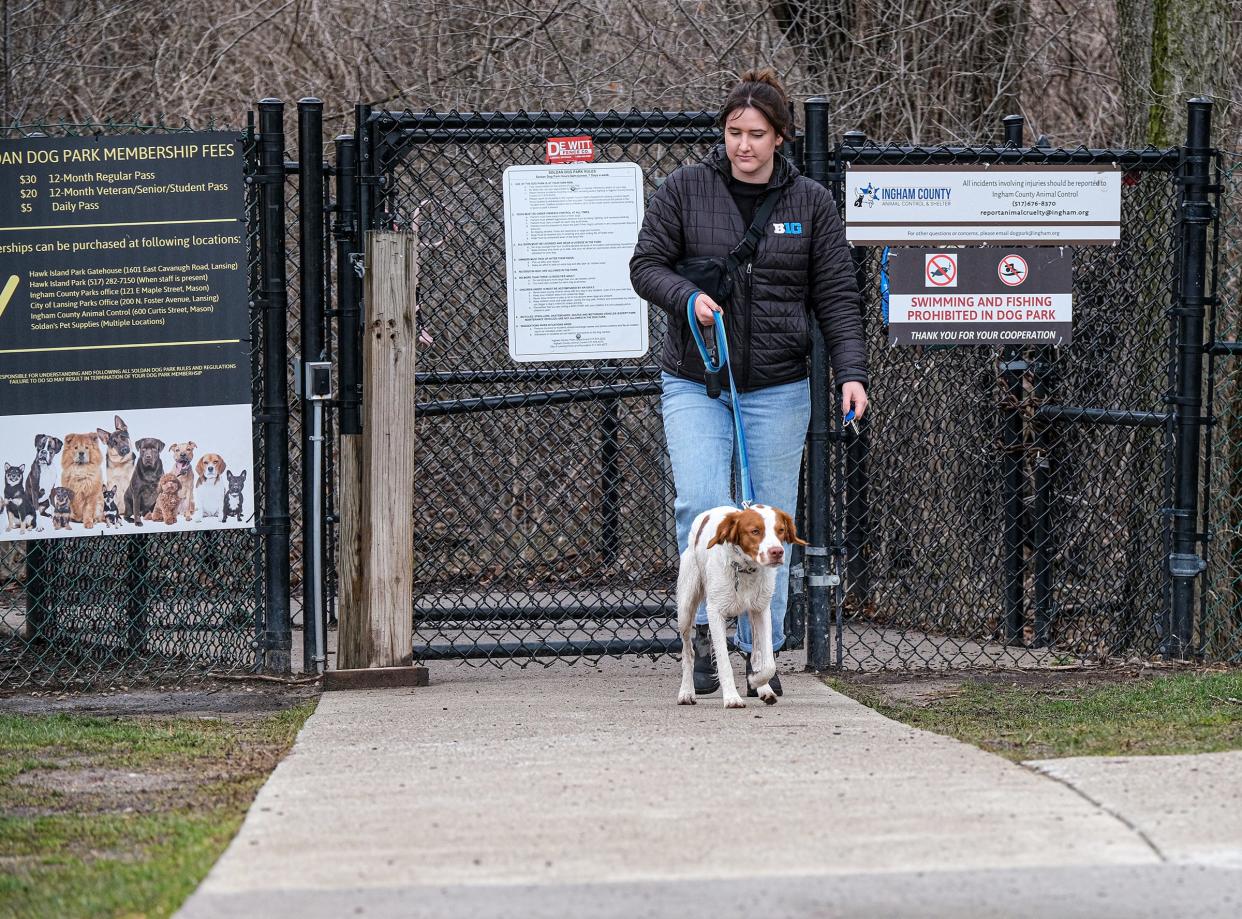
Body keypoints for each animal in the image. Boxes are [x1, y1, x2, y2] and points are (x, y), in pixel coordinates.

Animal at [675, 501, 809, 710]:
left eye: (780, 530)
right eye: (755, 531)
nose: (777, 552)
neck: (745, 568)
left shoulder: (762, 610)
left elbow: (768, 662)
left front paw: (757, 681)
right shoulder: (715, 612)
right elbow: (724, 662)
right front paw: (732, 698)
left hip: (751, 614)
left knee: (755, 655)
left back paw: (764, 688)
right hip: (686, 608)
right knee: (688, 652)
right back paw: (686, 692)